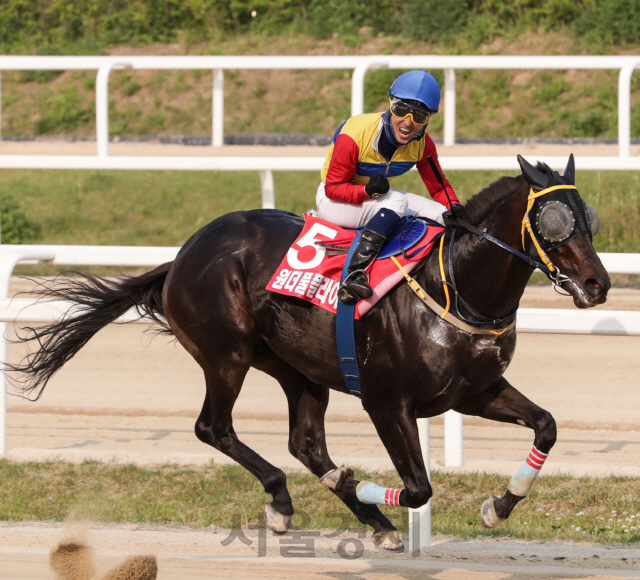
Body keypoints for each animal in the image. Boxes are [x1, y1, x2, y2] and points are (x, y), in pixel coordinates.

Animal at [10, 155, 608, 552]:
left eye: (588, 218)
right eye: (554, 222)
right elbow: (418, 488)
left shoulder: (474, 391)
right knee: (214, 428)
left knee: (305, 443)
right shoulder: (387, 403)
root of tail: (182, 254)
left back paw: (368, 519)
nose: (598, 284)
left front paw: (498, 505)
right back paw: (289, 500)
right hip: (226, 355)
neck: (454, 285)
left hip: (297, 369)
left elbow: (547, 426)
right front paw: (362, 486)